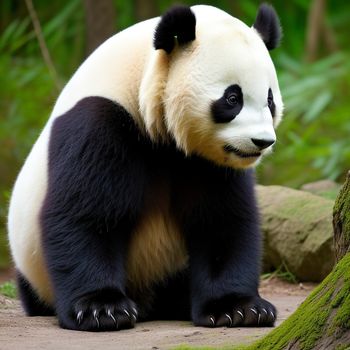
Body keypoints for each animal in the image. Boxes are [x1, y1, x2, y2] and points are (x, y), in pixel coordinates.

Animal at [6, 3, 284, 330]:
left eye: (270, 100)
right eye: (232, 98)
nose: (261, 141)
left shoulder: (206, 161)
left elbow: (221, 219)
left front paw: (238, 308)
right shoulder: (99, 120)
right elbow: (86, 214)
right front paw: (102, 309)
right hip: (32, 269)